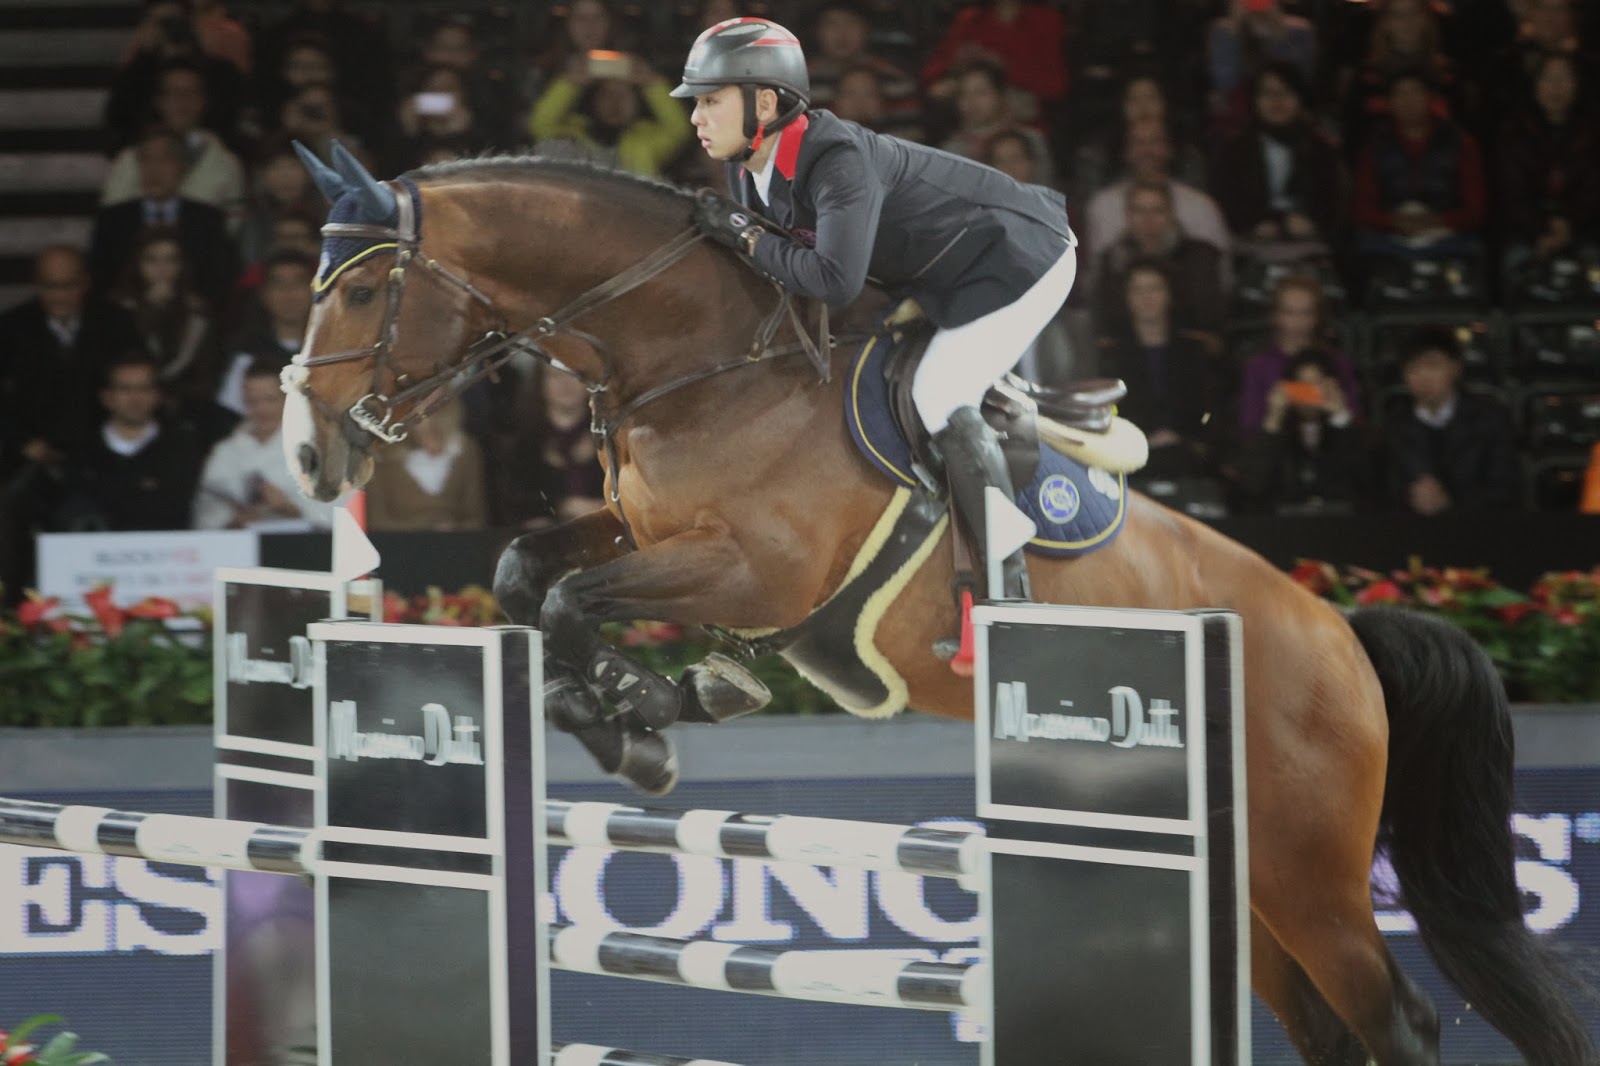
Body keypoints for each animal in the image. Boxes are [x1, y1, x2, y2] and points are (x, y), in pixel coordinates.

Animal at [279, 144, 1596, 1066]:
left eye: (362, 293)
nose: (305, 453)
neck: (704, 363)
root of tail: (1343, 637)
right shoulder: (649, 532)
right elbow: (525, 573)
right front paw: (636, 710)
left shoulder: (756, 570)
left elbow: (569, 595)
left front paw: (652, 705)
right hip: (1254, 889)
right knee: (1324, 1028)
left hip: (1310, 872)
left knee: (1395, 1021)